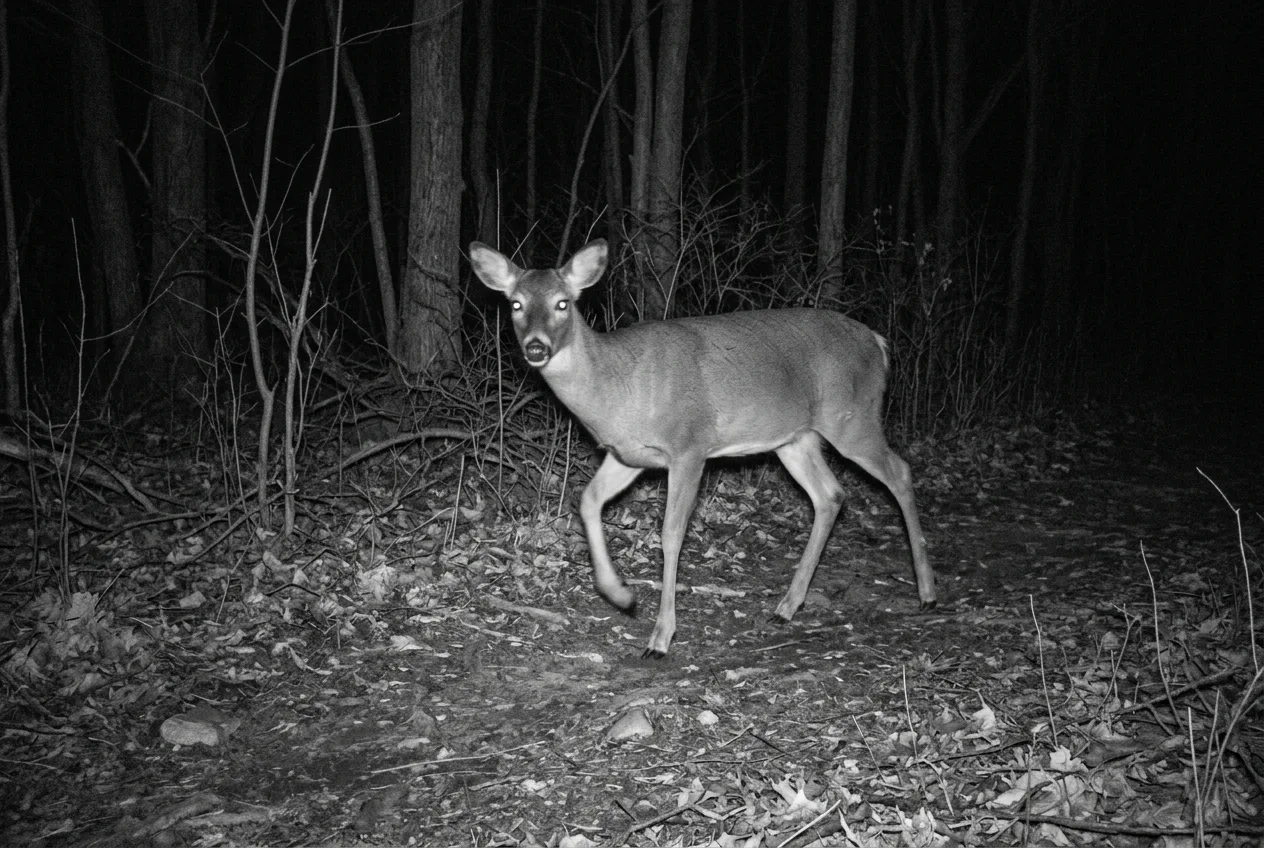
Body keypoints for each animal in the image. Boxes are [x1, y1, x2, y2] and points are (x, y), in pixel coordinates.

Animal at [469, 239, 935, 657]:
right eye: (515, 304)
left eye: (563, 303)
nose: (536, 347)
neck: (617, 387)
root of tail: (877, 342)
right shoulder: (627, 455)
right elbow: (586, 501)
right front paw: (621, 595)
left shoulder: (689, 445)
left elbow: (672, 533)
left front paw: (660, 637)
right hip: (794, 438)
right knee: (830, 495)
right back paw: (786, 606)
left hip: (851, 417)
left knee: (899, 471)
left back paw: (927, 591)